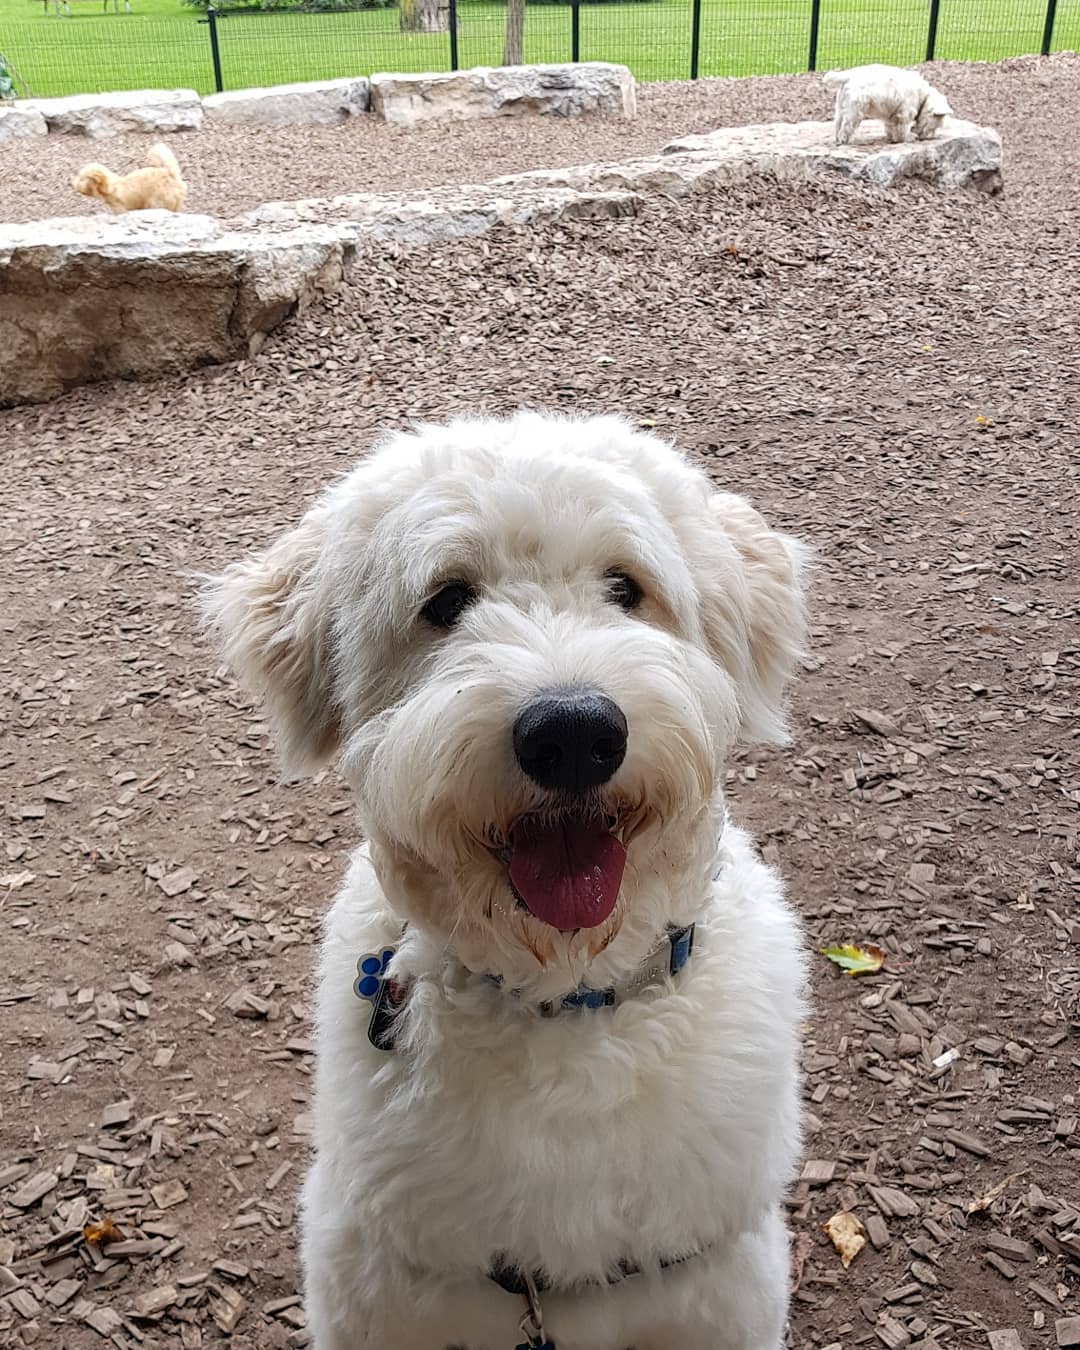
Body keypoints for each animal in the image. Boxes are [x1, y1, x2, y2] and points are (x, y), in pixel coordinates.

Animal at [202, 413, 810, 1350]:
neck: (565, 1004)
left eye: (626, 587)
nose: (573, 734)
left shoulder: (717, 1291)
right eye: (446, 602)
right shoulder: (377, 1290)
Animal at [826, 63, 955, 145]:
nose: (928, 138)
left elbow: (891, 126)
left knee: (838, 122)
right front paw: (907, 138)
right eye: (934, 126)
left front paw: (891, 137)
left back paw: (837, 139)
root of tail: (848, 76)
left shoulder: (892, 113)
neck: (923, 96)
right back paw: (845, 140)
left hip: (841, 105)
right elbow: (902, 128)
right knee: (847, 126)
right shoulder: (904, 112)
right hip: (855, 108)